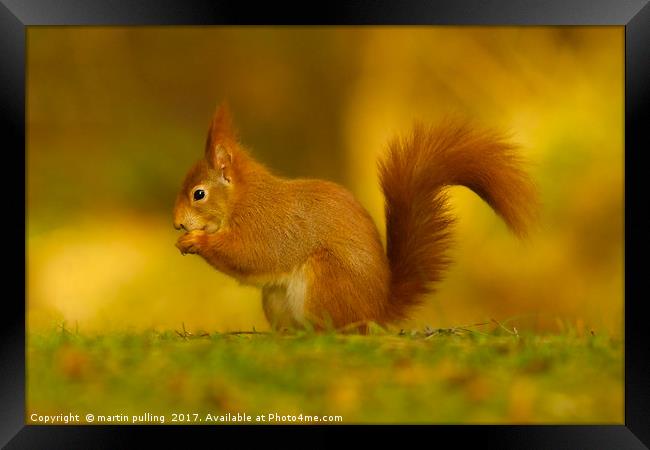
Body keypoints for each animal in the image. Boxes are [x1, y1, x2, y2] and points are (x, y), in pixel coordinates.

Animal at [172, 103, 536, 332]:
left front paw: (196, 240)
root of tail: (375, 310)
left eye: (198, 194)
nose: (177, 223)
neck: (243, 200)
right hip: (275, 300)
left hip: (326, 280)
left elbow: (249, 254)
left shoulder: (267, 225)